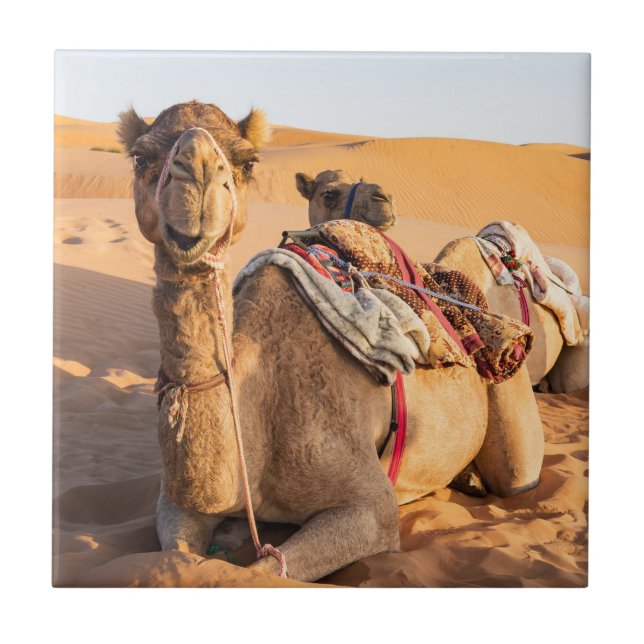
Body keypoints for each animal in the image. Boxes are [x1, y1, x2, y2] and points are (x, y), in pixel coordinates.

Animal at [118, 100, 544, 582]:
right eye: (140, 158)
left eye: (247, 161)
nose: (197, 177)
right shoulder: (175, 503)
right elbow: (180, 557)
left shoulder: (371, 507)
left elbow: (262, 571)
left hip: (511, 402)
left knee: (516, 473)